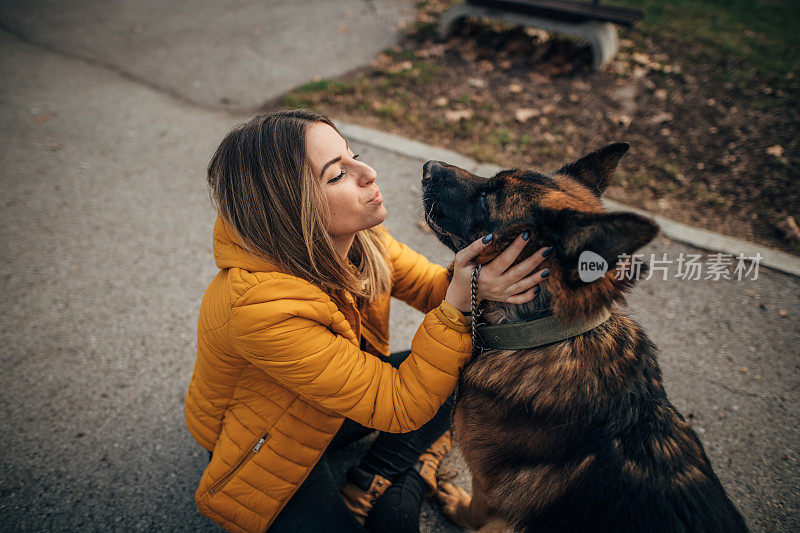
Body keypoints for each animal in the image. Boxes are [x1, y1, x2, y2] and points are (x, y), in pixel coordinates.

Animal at [422, 143, 748, 528]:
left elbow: (474, 512)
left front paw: (457, 506)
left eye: (488, 199)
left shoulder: (487, 489)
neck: (547, 335)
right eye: (491, 179)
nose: (428, 167)